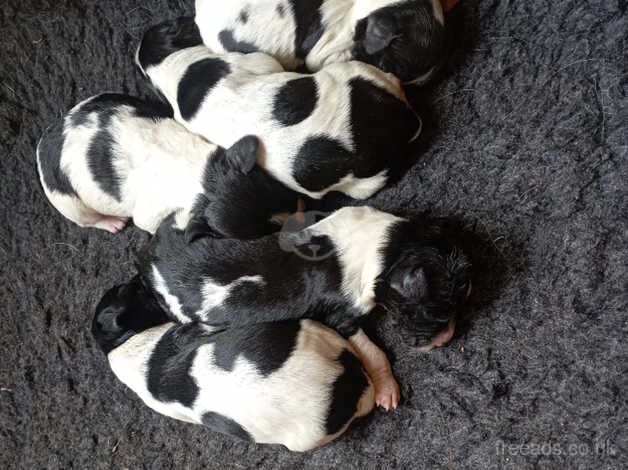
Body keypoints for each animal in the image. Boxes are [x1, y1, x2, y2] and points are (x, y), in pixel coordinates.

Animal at [37, 93, 300, 237]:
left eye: (278, 187)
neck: (203, 179)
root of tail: (49, 134)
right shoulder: (150, 214)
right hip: (65, 200)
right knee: (87, 218)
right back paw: (112, 223)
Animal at [92, 276, 372, 452]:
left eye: (123, 288)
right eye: (132, 291)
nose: (140, 277)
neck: (120, 344)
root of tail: (347, 384)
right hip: (315, 329)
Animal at [139, 207, 472, 410]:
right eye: (436, 312)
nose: (447, 338)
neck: (387, 247)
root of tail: (148, 262)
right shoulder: (341, 317)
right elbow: (374, 351)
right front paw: (387, 389)